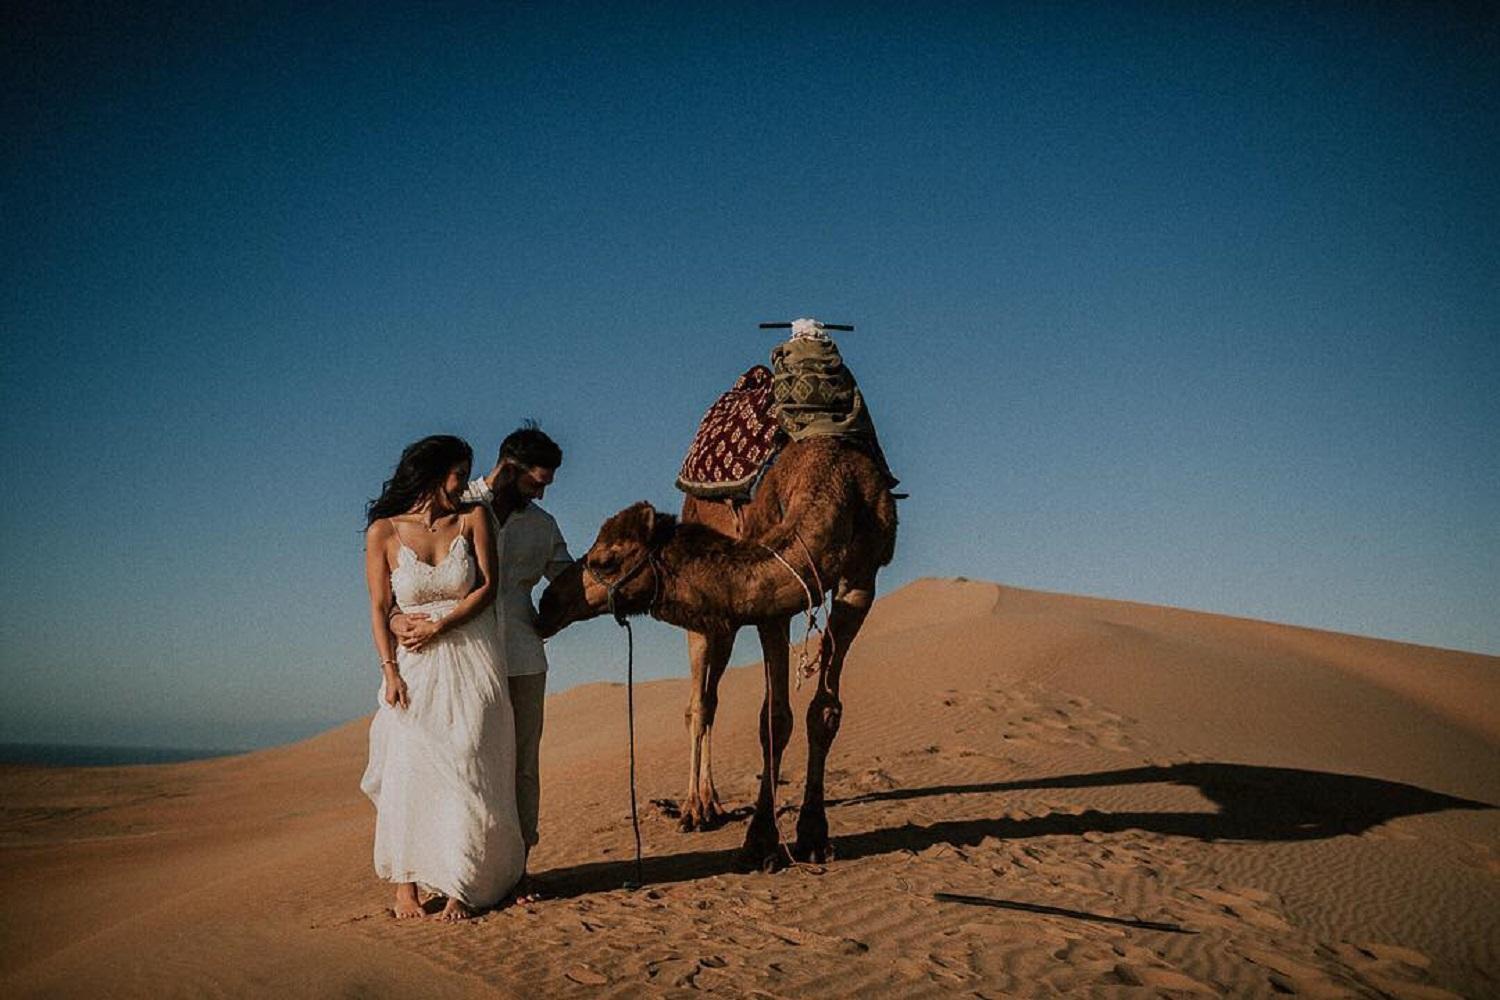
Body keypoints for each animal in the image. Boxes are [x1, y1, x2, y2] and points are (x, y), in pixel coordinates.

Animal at [537, 437, 894, 869]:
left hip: (726, 623)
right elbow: (774, 719)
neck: (833, 475)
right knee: (700, 705)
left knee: (713, 698)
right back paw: (695, 809)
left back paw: (712, 804)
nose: (549, 601)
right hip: (705, 630)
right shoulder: (773, 595)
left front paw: (813, 835)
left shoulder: (862, 579)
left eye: (605, 560)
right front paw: (760, 842)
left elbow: (823, 712)